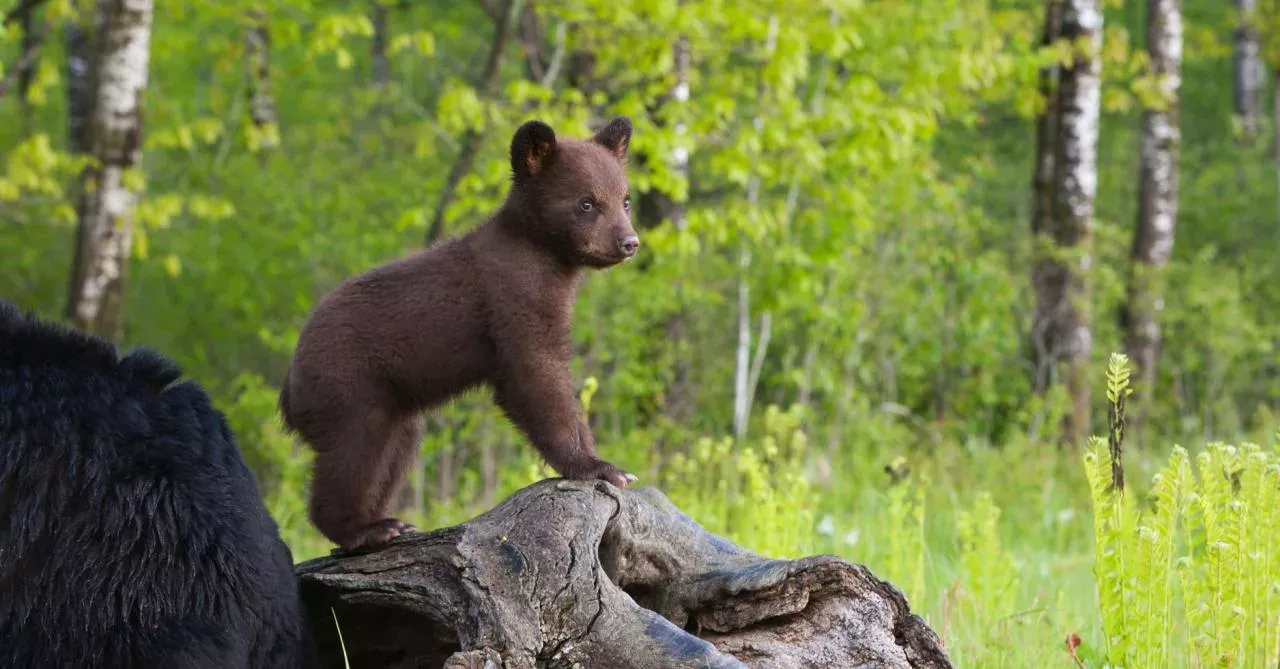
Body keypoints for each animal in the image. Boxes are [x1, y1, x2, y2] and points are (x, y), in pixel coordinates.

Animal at [279, 116, 641, 552]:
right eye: (587, 203)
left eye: (625, 200)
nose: (629, 242)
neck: (545, 257)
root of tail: (289, 390)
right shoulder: (512, 299)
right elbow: (536, 374)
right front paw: (600, 466)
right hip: (349, 385)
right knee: (355, 452)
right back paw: (366, 529)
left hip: (393, 402)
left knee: (395, 449)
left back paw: (389, 520)